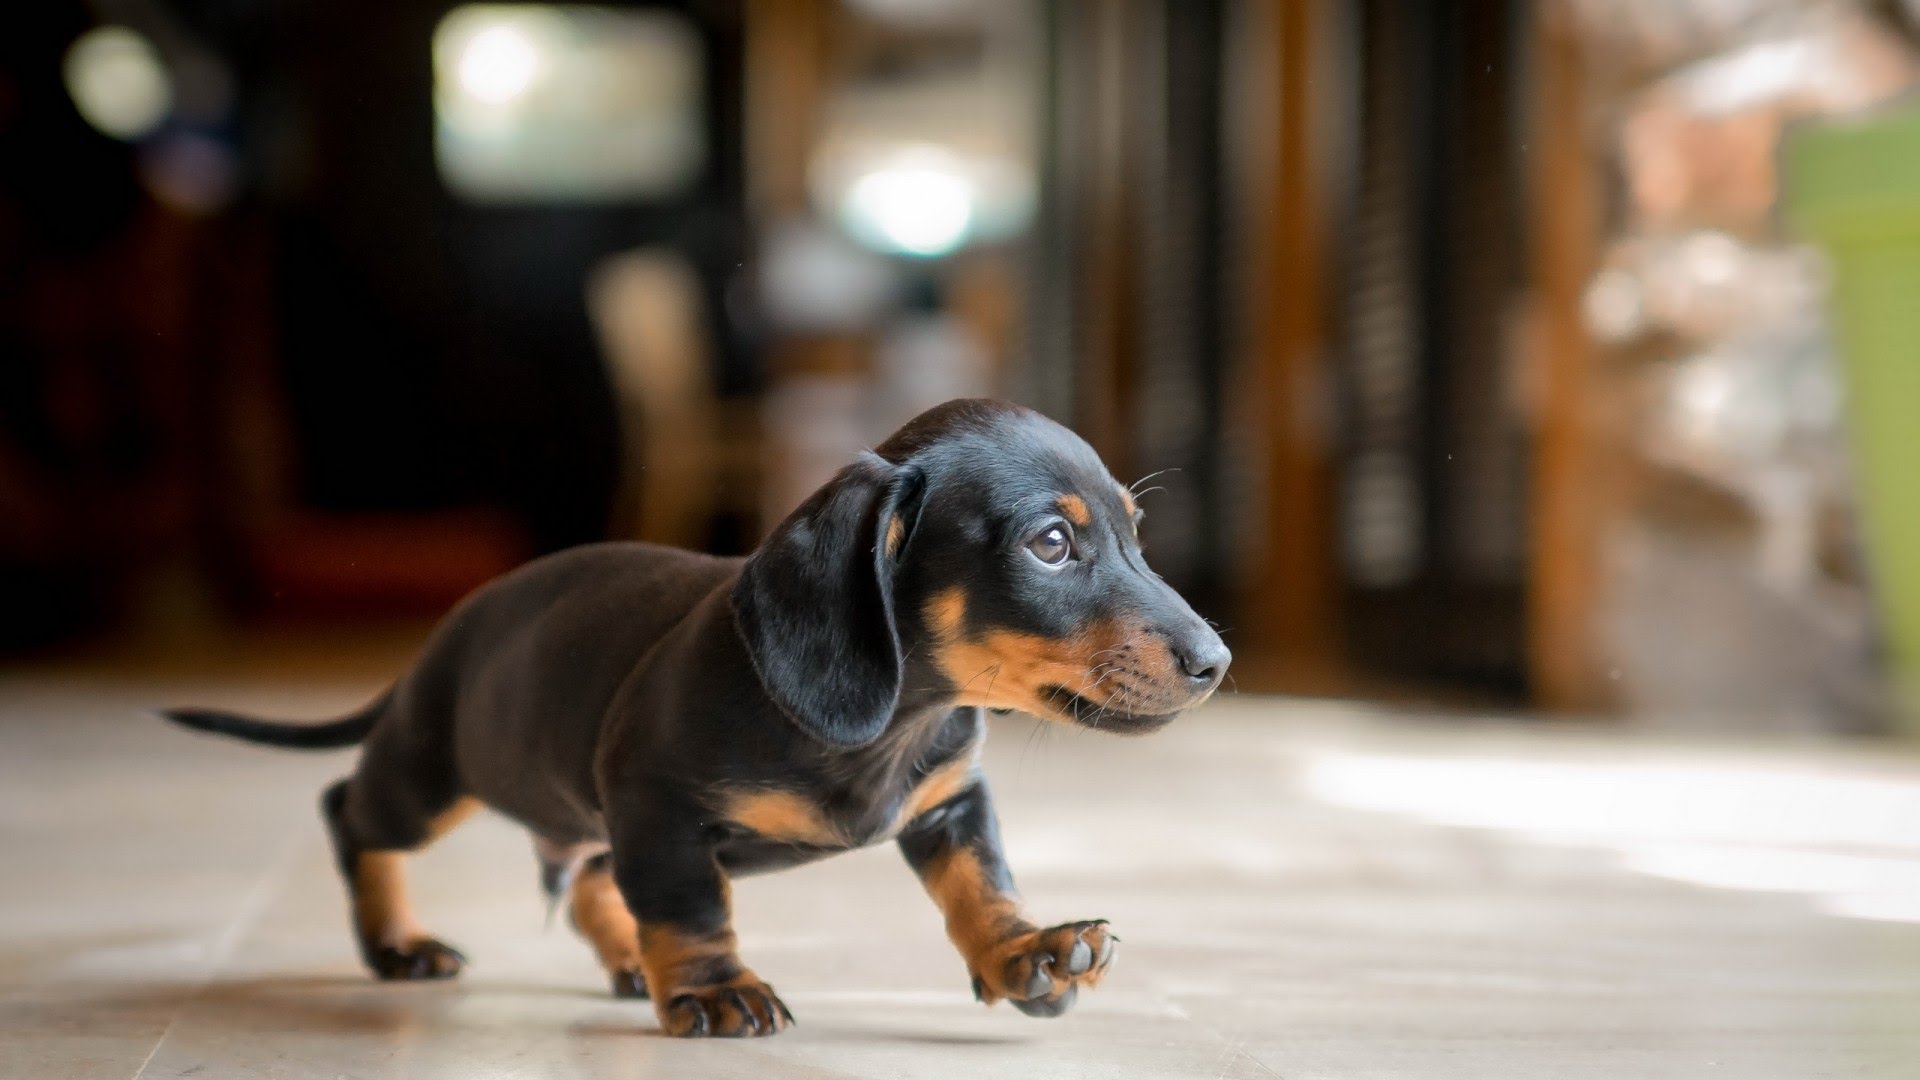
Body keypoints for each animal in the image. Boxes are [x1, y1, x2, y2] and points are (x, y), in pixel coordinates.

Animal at [161, 397, 1228, 1037]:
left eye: (1136, 534)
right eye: (1051, 544)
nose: (1216, 663)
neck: (893, 723)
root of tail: (446, 634)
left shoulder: (951, 802)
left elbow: (981, 884)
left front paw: (1027, 955)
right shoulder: (659, 806)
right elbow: (690, 906)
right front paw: (715, 990)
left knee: (588, 881)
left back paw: (629, 962)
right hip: (431, 776)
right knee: (350, 812)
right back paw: (397, 944)